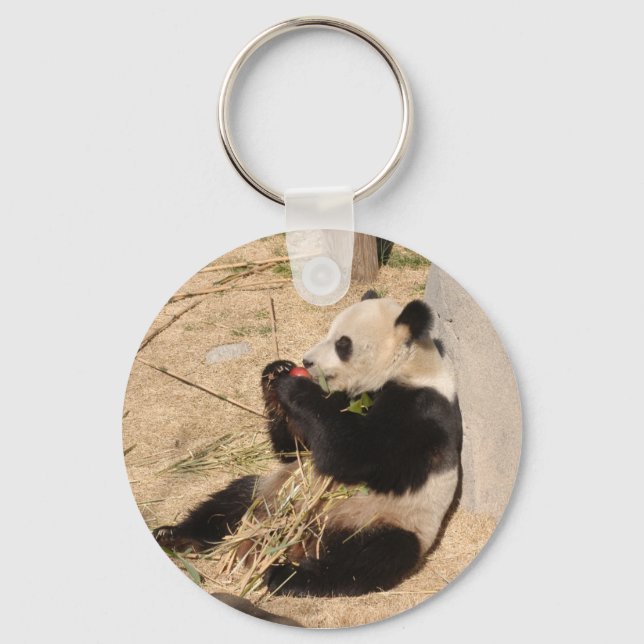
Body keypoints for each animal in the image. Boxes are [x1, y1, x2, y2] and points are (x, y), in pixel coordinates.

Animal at [154, 290, 463, 597]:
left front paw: (297, 387)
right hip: (275, 494)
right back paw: (176, 536)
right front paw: (278, 372)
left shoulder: (420, 412)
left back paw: (286, 575)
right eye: (329, 332)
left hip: (384, 519)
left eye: (342, 344)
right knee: (234, 499)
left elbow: (353, 454)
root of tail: (302, 540)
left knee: (371, 557)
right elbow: (297, 450)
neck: (407, 368)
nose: (308, 361)